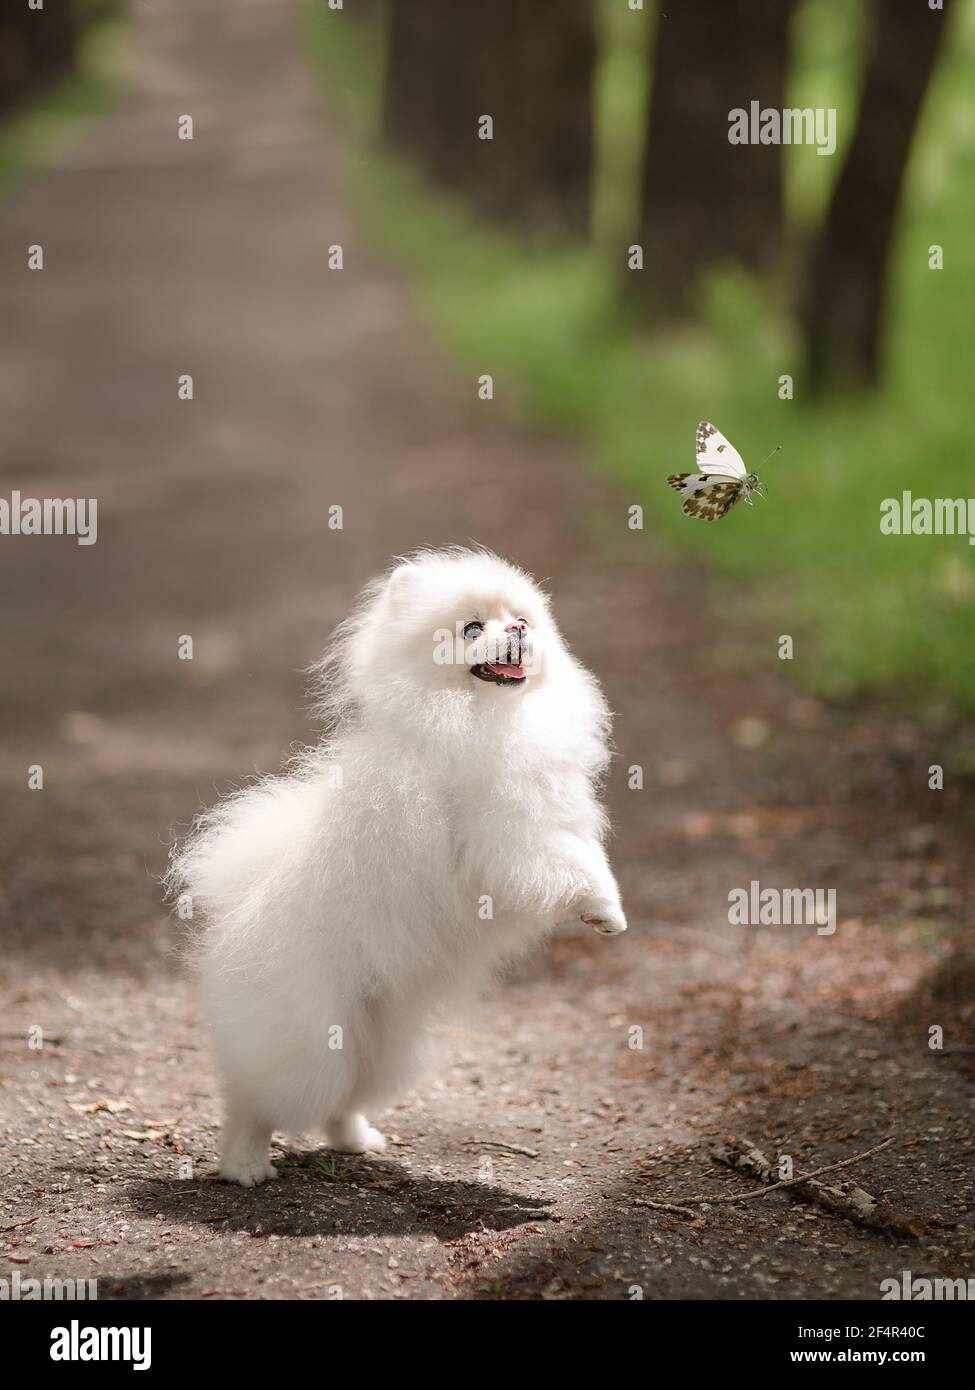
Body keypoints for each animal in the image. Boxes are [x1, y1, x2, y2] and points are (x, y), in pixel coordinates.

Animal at [168, 542, 623, 1184]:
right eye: (472, 628)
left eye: (523, 619)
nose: (515, 631)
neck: (484, 715)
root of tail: (236, 911)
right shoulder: (507, 839)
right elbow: (566, 868)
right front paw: (602, 911)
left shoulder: (551, 819)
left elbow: (589, 857)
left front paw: (610, 909)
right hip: (311, 1043)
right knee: (255, 1101)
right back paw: (245, 1165)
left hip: (384, 1041)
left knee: (344, 1099)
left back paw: (357, 1140)